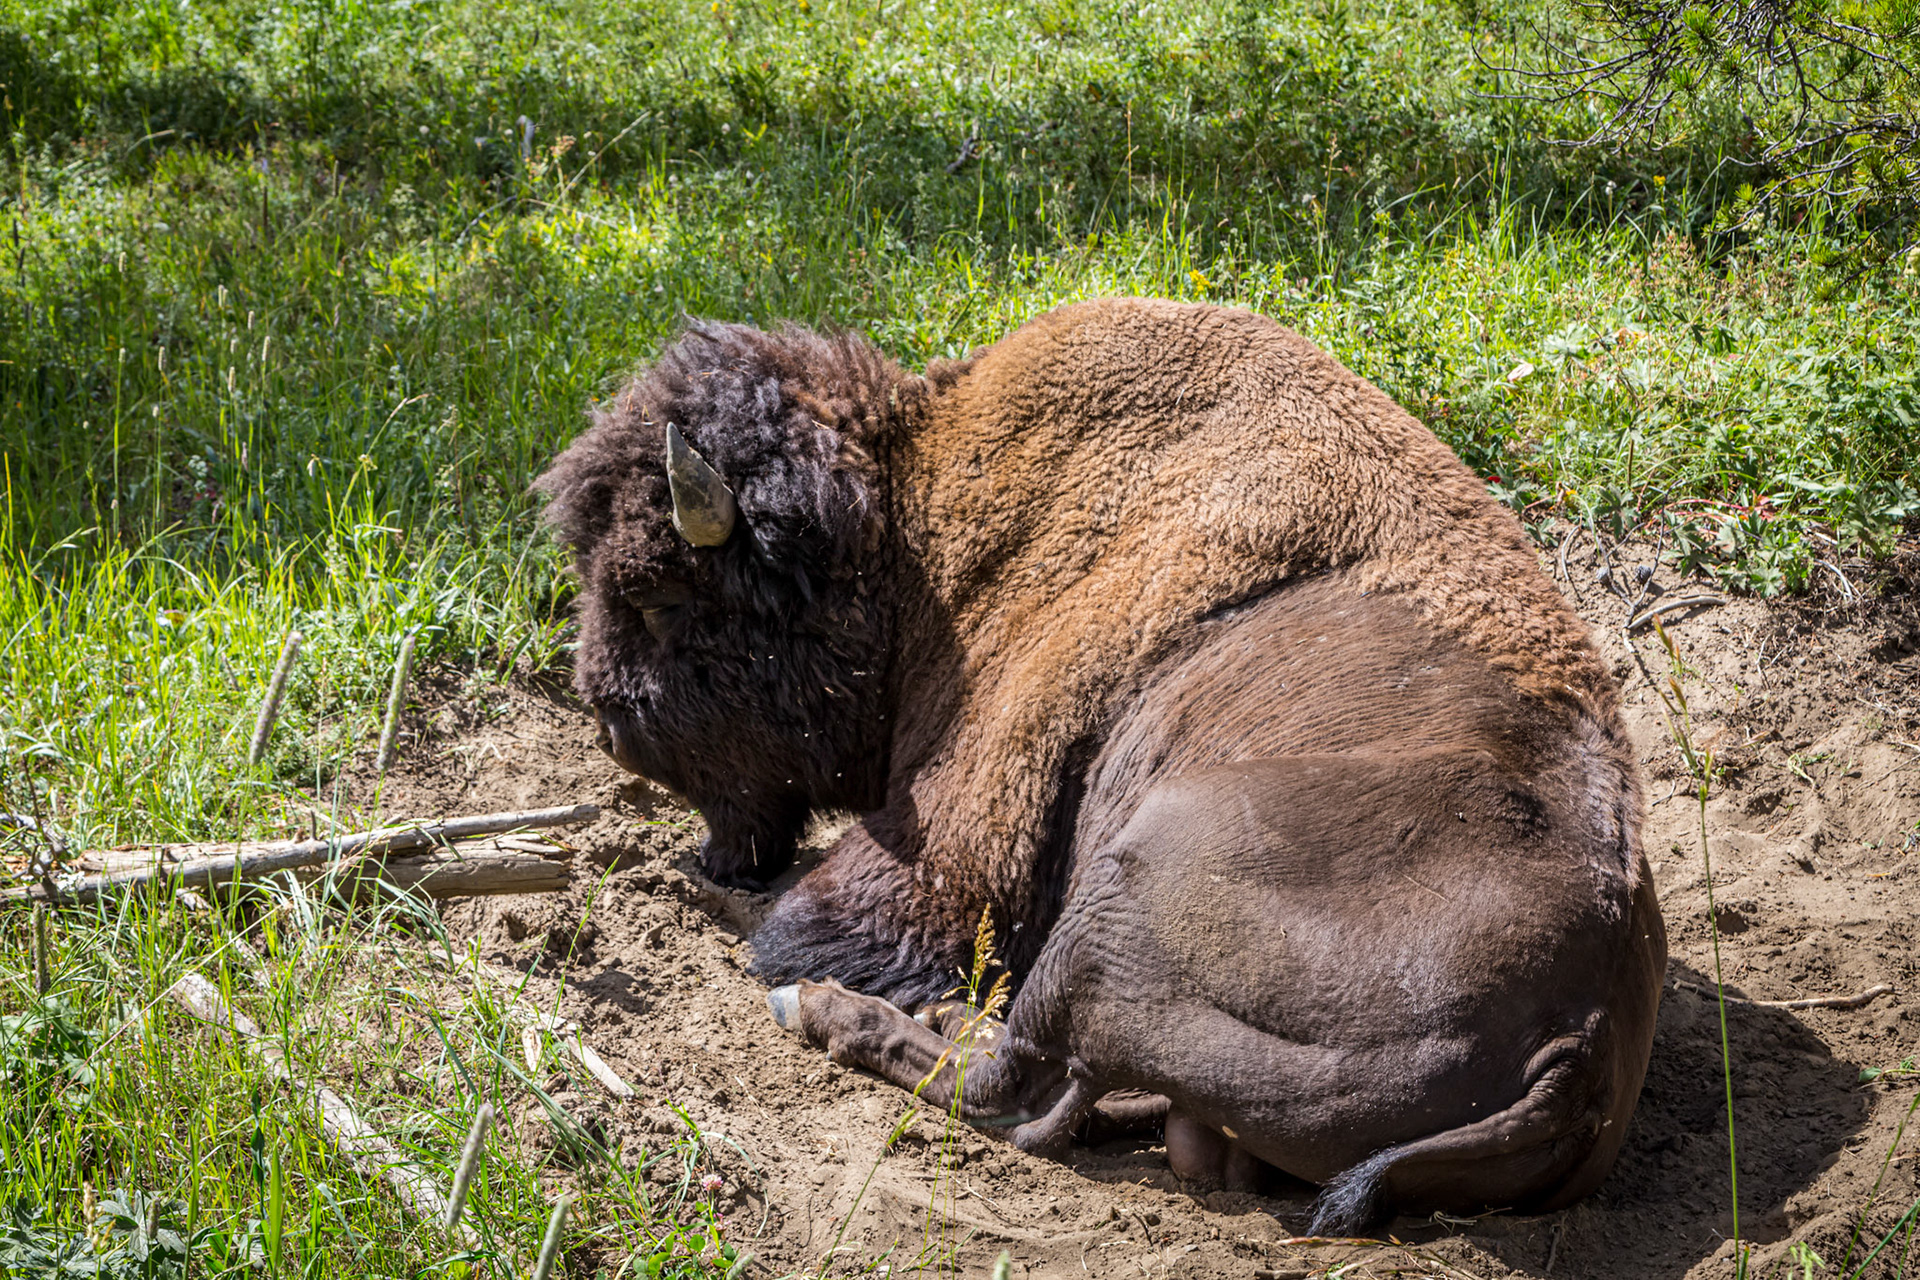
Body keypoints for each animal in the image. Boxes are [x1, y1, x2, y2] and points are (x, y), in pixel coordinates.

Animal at [534, 298, 1667, 1233]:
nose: (606, 719)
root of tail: (1585, 1030)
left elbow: (834, 918)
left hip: (1121, 896)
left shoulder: (957, 832)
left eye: (658, 597)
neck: (918, 530)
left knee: (1009, 1084)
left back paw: (836, 1011)